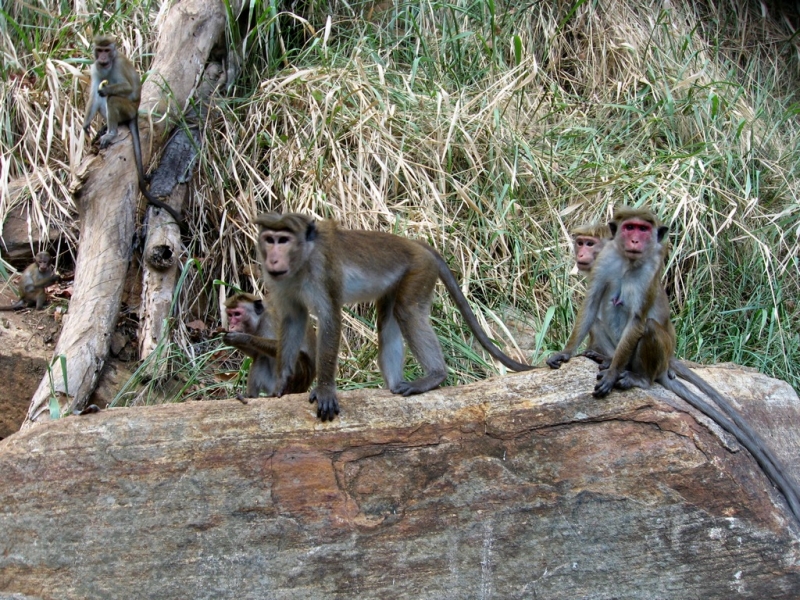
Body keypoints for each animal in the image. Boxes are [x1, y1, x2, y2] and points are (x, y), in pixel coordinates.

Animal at [82, 35, 186, 231]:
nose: (103, 58)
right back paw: (104, 129)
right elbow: (93, 95)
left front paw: (106, 89)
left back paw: (112, 132)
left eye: (107, 50)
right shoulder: (95, 68)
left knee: (113, 99)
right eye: (99, 50)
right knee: (102, 100)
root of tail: (135, 112)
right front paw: (85, 126)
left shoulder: (118, 66)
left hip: (128, 109)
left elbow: (127, 88)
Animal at [253, 213, 536, 420]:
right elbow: (293, 319)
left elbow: (330, 320)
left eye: (283, 240)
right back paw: (392, 386)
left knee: (406, 312)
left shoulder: (324, 272)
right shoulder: (282, 283)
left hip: (419, 270)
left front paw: (324, 390)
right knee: (388, 320)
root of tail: (415, 243)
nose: (273, 258)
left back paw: (434, 376)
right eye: (269, 239)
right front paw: (281, 385)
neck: (302, 261)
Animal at [548, 207, 800, 524]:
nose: (580, 252)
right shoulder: (604, 266)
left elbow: (635, 317)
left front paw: (613, 372)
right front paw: (566, 353)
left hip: (655, 356)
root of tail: (667, 364)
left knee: (646, 326)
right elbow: (592, 304)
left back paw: (633, 375)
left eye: (588, 243)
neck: (624, 260)